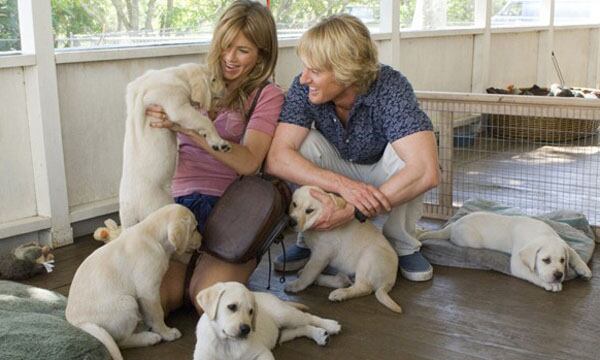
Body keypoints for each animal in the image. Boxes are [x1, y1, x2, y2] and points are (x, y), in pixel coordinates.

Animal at [65, 204, 202, 358]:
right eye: (194, 229)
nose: (203, 240)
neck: (153, 237)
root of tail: (77, 322)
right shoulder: (148, 291)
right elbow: (158, 313)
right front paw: (166, 332)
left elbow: (150, 314)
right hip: (128, 303)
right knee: (121, 342)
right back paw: (148, 338)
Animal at [119, 63, 230, 228]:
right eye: (214, 79)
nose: (227, 87)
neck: (180, 74)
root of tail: (132, 208)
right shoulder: (176, 104)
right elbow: (204, 120)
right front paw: (219, 142)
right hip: (159, 205)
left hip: (127, 219)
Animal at [193, 282, 340, 358]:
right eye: (232, 307)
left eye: (251, 311)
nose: (246, 329)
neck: (228, 344)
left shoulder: (262, 353)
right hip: (283, 330)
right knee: (299, 329)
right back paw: (320, 335)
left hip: (284, 314)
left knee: (308, 318)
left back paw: (331, 325)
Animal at [418, 212, 592, 292]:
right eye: (546, 260)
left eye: (562, 260)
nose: (558, 275)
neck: (541, 234)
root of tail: (453, 225)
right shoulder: (517, 264)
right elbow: (533, 275)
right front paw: (550, 284)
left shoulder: (565, 245)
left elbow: (574, 253)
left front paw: (584, 269)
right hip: (472, 241)